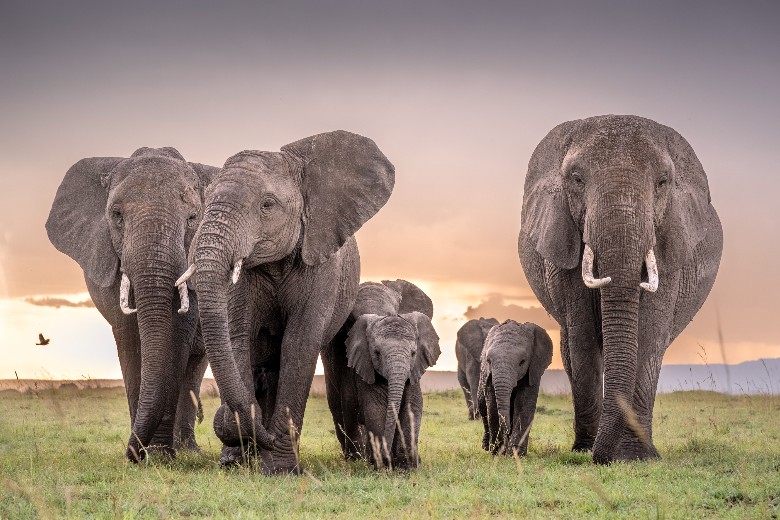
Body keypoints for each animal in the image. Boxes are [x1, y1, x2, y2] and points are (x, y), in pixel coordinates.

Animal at [46, 147, 219, 461]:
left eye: (193, 217)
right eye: (116, 215)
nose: (133, 453)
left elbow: (178, 334)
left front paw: (160, 455)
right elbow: (128, 335)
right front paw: (145, 454)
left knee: (195, 365)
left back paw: (188, 451)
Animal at [176, 130, 395, 474]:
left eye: (267, 204)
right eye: (205, 202)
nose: (219, 420)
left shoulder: (322, 262)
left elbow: (299, 342)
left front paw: (280, 469)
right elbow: (239, 336)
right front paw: (247, 454)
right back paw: (235, 458)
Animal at [322, 280, 440, 470]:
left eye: (413, 353)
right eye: (351, 321)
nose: (388, 459)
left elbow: (413, 405)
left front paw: (407, 465)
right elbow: (374, 407)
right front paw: (382, 464)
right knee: (342, 409)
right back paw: (357, 458)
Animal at [477, 320, 552, 456]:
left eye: (522, 362)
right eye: (488, 361)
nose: (506, 436)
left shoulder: (532, 370)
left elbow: (523, 404)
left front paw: (515, 454)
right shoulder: (489, 376)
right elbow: (492, 405)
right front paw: (498, 452)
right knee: (483, 408)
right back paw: (487, 447)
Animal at [518, 115, 723, 464]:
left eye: (663, 182)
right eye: (576, 180)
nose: (601, 458)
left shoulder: (670, 247)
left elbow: (649, 334)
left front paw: (636, 456)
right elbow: (583, 337)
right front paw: (588, 451)